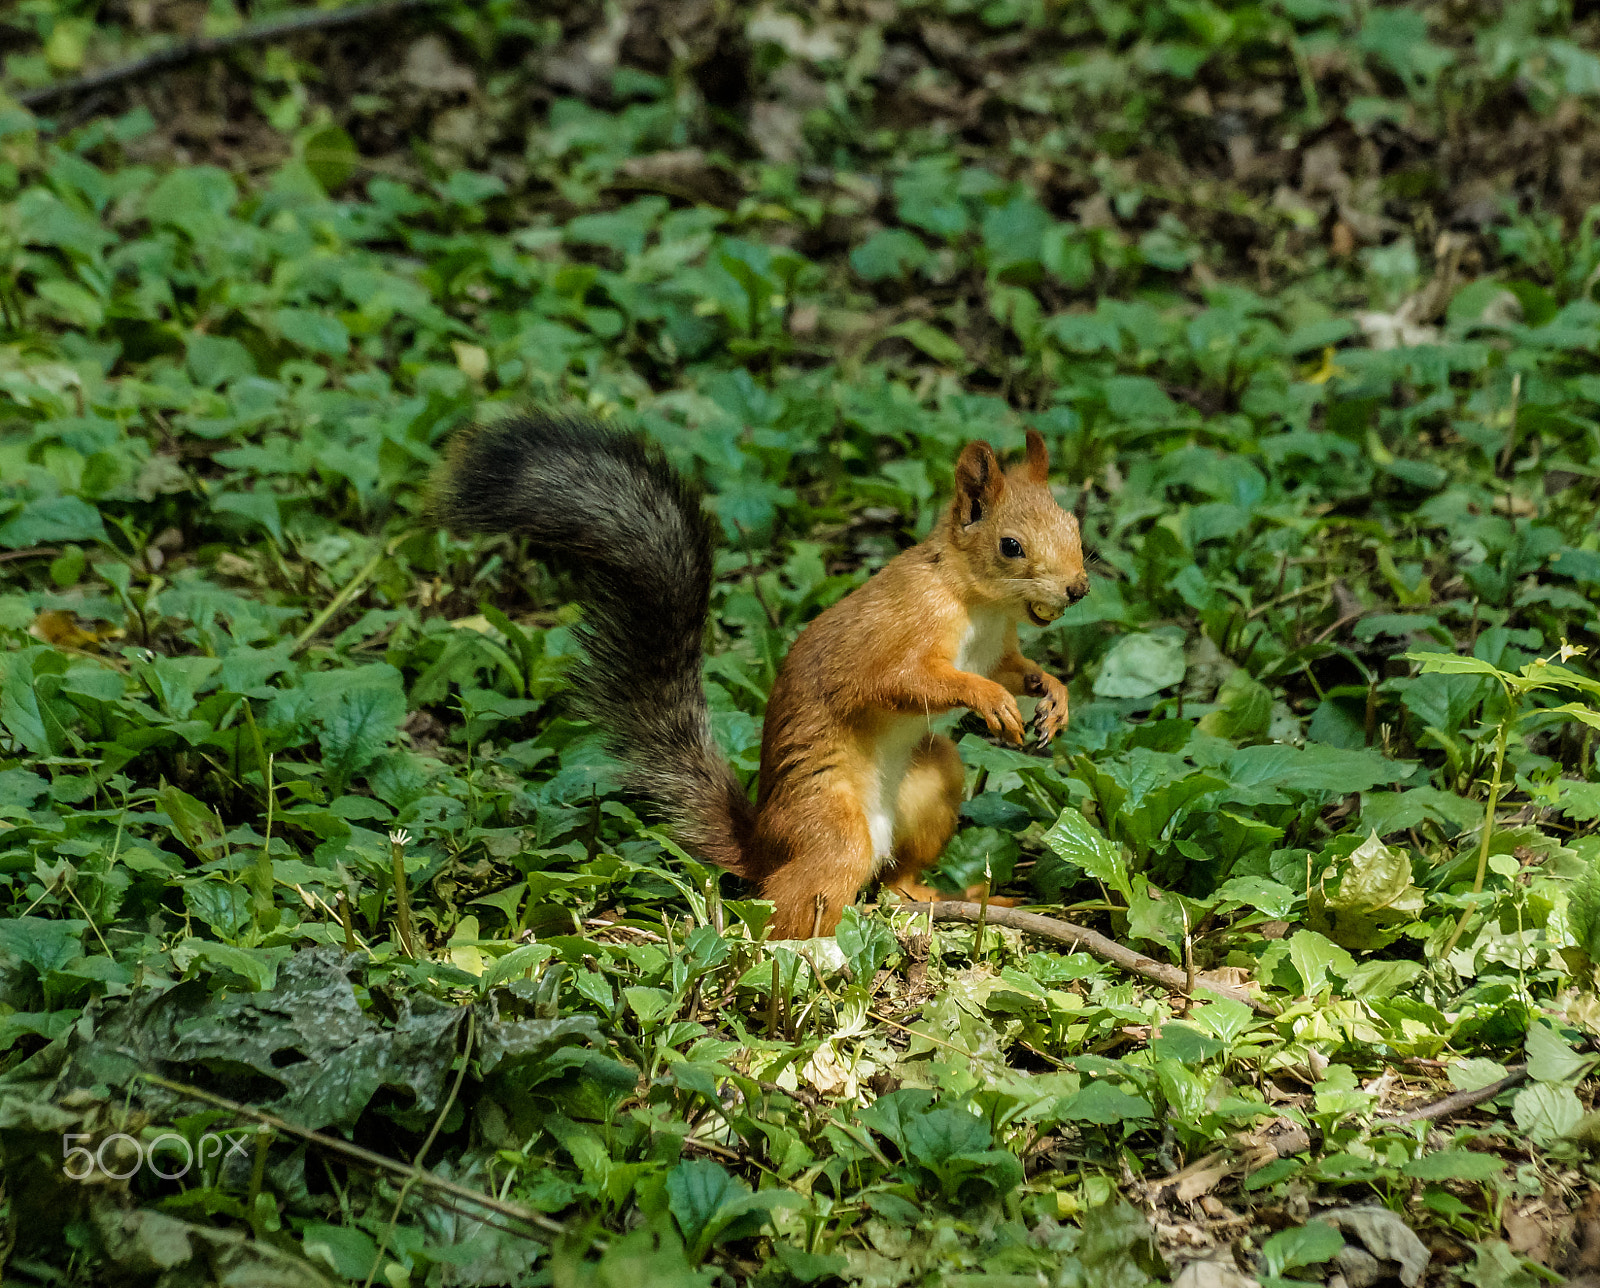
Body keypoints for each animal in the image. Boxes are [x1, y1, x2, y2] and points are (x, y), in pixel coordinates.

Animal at [435, 412, 1088, 934]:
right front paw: (988, 698)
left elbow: (1018, 668)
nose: (1078, 589)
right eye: (1010, 545)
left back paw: (928, 896)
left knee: (894, 876)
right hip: (827, 822)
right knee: (783, 905)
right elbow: (894, 681)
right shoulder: (902, 632)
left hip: (931, 783)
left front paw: (1052, 695)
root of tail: (762, 844)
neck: (980, 603)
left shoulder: (1000, 646)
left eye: (1075, 525)